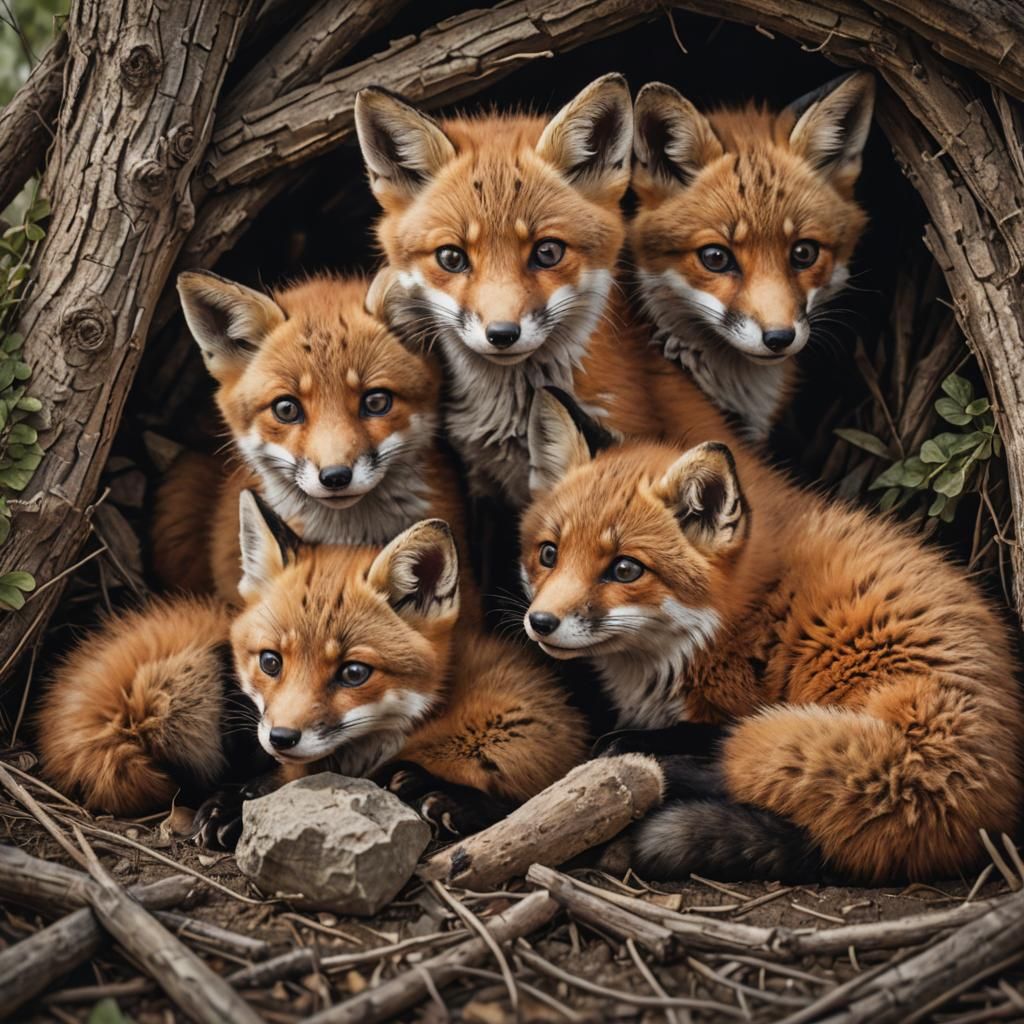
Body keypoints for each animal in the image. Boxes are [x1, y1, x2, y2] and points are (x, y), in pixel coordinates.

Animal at [38, 491, 588, 845]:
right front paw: (232, 805)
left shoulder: (533, 730)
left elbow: (532, 793)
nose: (281, 737)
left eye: (353, 673)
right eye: (270, 661)